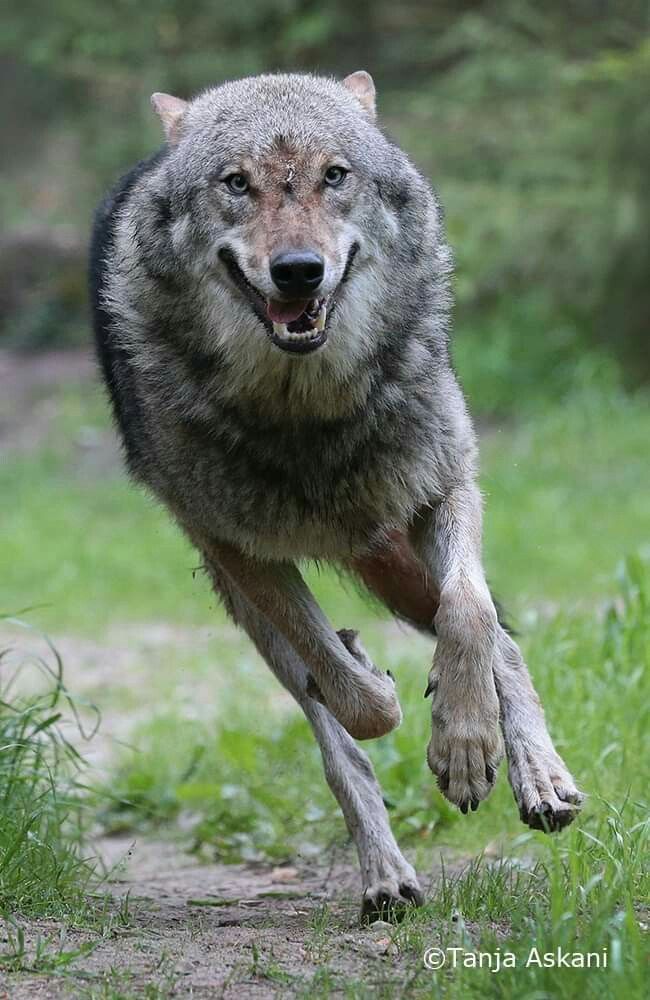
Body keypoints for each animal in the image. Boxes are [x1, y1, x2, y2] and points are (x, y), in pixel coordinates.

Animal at [88, 72, 580, 920]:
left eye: (335, 176)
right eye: (236, 184)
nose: (297, 270)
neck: (309, 411)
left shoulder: (447, 486)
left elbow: (471, 613)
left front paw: (464, 743)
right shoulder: (242, 553)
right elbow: (354, 698)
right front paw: (380, 682)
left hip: (394, 549)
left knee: (500, 635)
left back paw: (538, 777)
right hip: (252, 607)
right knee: (336, 739)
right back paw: (386, 876)